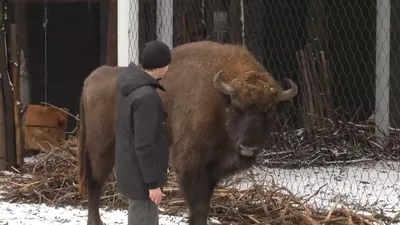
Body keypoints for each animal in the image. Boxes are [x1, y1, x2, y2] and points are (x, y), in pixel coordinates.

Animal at [77, 40, 296, 225]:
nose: (248, 148)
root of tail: (91, 79)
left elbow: (205, 205)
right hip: (101, 148)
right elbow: (198, 207)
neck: (220, 99)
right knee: (94, 183)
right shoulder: (191, 163)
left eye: (269, 111)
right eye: (237, 108)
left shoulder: (214, 167)